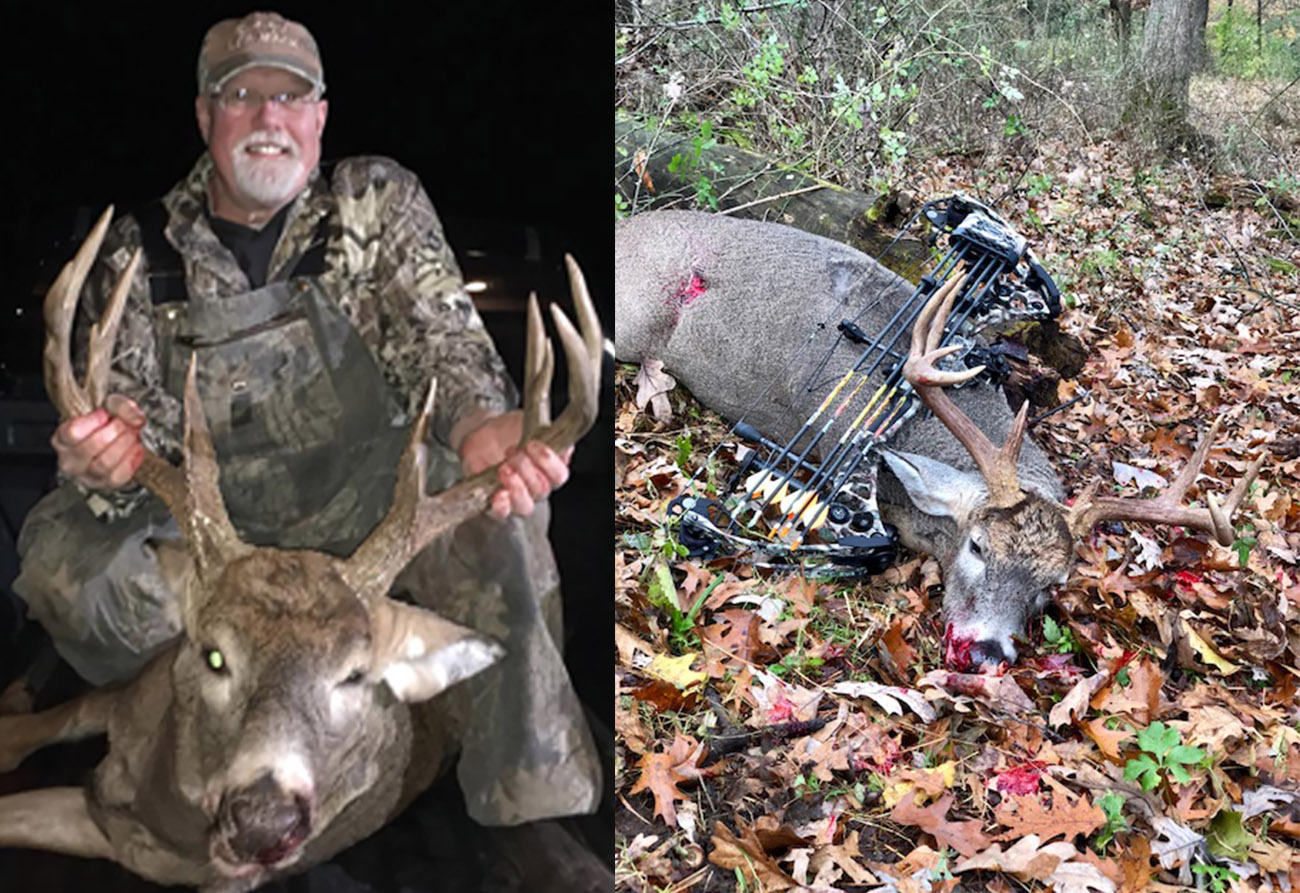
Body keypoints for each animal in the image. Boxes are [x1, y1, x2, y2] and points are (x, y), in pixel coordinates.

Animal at [0, 207, 603, 893]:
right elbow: (31, 733)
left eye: (356, 676)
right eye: (213, 655)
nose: (263, 822)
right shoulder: (126, 713)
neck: (158, 814)